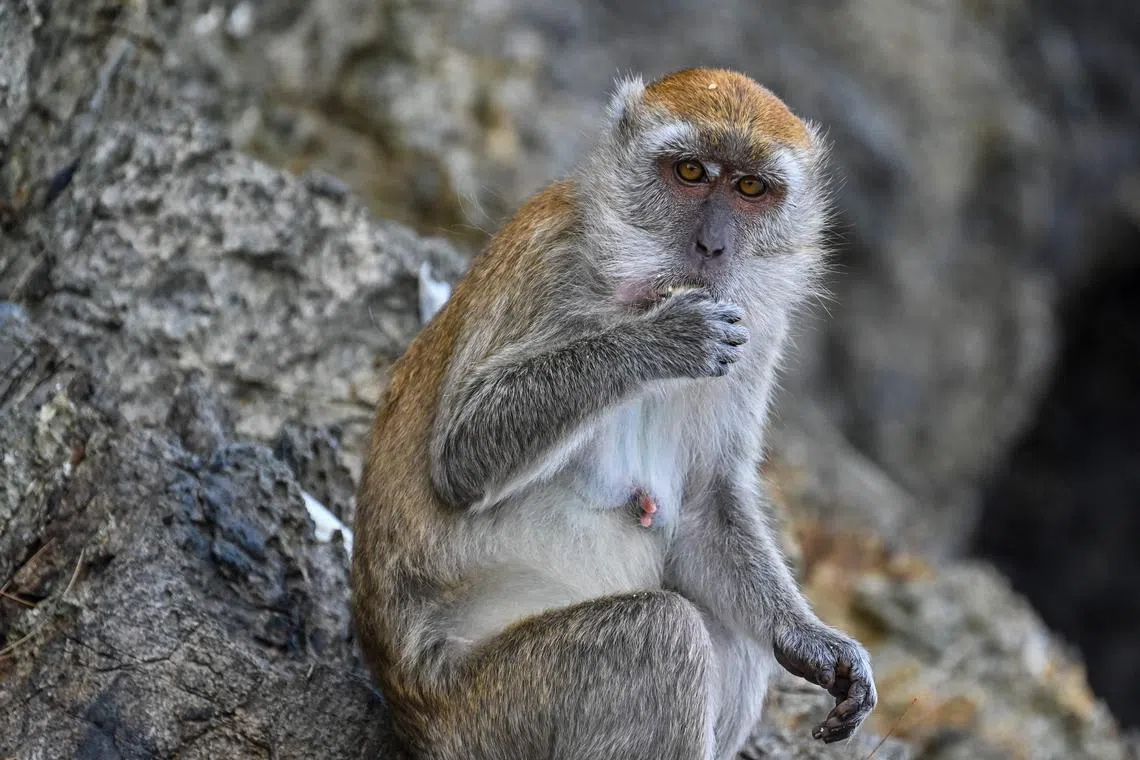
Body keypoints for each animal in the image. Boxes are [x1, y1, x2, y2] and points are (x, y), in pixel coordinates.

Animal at [352, 67, 877, 760]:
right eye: (689, 172)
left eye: (750, 187)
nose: (712, 246)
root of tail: (412, 715)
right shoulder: (548, 261)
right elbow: (461, 456)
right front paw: (662, 340)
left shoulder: (759, 334)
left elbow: (707, 504)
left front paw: (816, 644)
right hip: (489, 718)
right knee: (661, 631)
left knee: (731, 641)